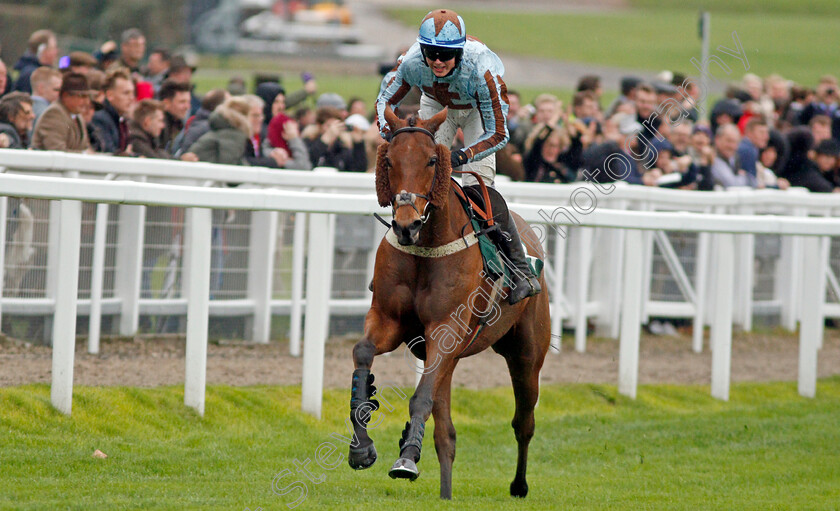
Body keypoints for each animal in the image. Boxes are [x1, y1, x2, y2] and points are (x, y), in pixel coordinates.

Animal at [348, 105, 552, 500]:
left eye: (431, 160)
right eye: (389, 160)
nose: (406, 225)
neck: (427, 246)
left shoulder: (447, 328)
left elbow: (419, 398)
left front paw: (406, 458)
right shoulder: (390, 320)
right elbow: (363, 353)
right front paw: (362, 447)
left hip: (526, 355)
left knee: (524, 422)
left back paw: (519, 484)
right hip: (448, 356)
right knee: (447, 434)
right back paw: (444, 490)